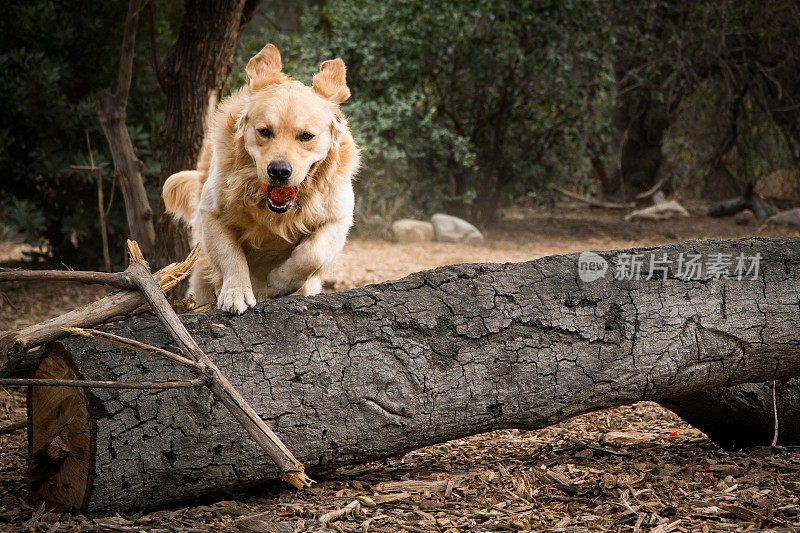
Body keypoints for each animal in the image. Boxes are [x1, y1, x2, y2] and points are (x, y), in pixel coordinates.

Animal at [161, 44, 358, 316]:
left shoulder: (339, 216)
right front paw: (236, 292)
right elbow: (231, 254)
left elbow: (313, 253)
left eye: (306, 136)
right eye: (264, 131)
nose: (279, 171)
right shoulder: (210, 212)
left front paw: (278, 281)